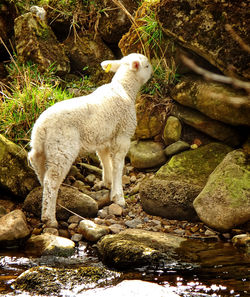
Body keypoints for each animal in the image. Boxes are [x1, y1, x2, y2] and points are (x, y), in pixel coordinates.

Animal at [27, 52, 152, 227]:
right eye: (146, 66)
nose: (153, 71)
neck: (125, 89)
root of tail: (41, 128)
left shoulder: (104, 136)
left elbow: (105, 159)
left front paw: (107, 182)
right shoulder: (122, 134)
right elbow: (118, 164)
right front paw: (118, 196)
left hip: (41, 148)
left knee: (38, 166)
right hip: (62, 147)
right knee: (52, 180)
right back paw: (49, 218)